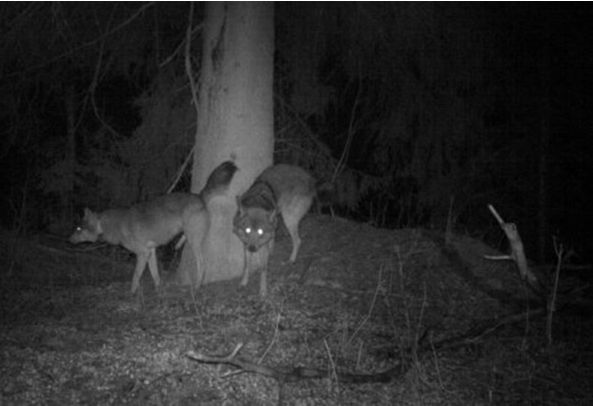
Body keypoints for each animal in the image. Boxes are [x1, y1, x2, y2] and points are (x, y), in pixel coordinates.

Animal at [69, 160, 236, 294]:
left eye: (78, 229)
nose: (68, 240)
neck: (113, 225)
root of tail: (199, 196)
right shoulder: (151, 252)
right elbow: (155, 274)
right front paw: (158, 290)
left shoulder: (142, 253)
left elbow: (135, 276)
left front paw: (132, 293)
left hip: (193, 242)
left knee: (202, 265)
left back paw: (197, 287)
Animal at [231, 163, 316, 296]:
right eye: (247, 230)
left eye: (260, 232)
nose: (252, 248)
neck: (256, 202)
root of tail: (309, 178)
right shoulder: (245, 244)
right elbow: (247, 265)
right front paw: (243, 283)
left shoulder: (262, 246)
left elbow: (263, 268)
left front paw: (263, 290)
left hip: (288, 219)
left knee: (298, 240)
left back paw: (291, 260)